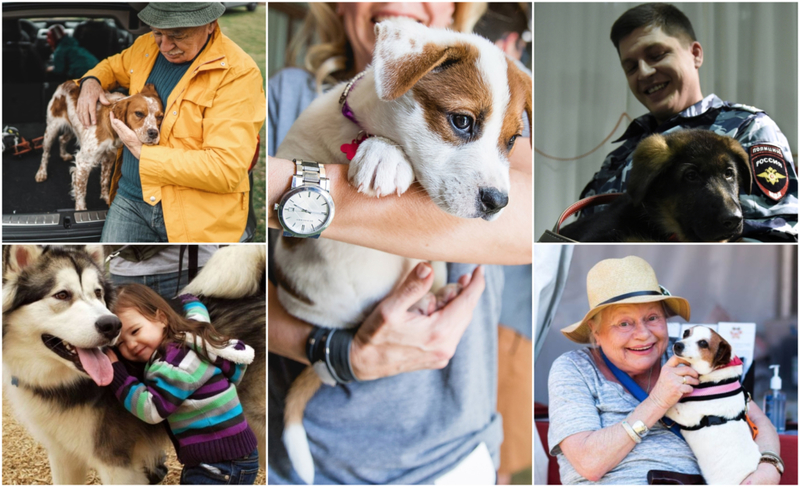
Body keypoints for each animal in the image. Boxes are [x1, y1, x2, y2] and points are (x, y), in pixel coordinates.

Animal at [36, 81, 164, 210]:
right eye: (139, 113)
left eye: (160, 117)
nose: (153, 133)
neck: (112, 130)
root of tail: (67, 82)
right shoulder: (84, 161)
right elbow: (81, 189)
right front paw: (81, 209)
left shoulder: (109, 156)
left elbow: (105, 179)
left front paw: (106, 198)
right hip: (51, 129)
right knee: (46, 153)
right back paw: (41, 173)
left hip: (74, 130)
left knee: (62, 139)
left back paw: (63, 154)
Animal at [276, 17, 532, 486]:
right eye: (462, 121)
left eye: (511, 142)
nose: (499, 203)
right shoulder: (286, 236)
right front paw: (385, 154)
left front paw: (383, 153)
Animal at [664, 326, 760, 486]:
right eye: (686, 333)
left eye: (703, 343)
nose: (678, 345)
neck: (716, 377)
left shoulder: (686, 414)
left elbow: (669, 406)